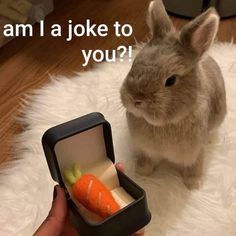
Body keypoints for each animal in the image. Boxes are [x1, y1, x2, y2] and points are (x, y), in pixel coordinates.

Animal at [120, 0, 227, 188]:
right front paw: (142, 174)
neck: (165, 124)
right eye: (134, 63)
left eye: (171, 80)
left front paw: (193, 184)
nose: (135, 99)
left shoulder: (195, 152)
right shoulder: (145, 151)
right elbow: (146, 162)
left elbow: (194, 166)